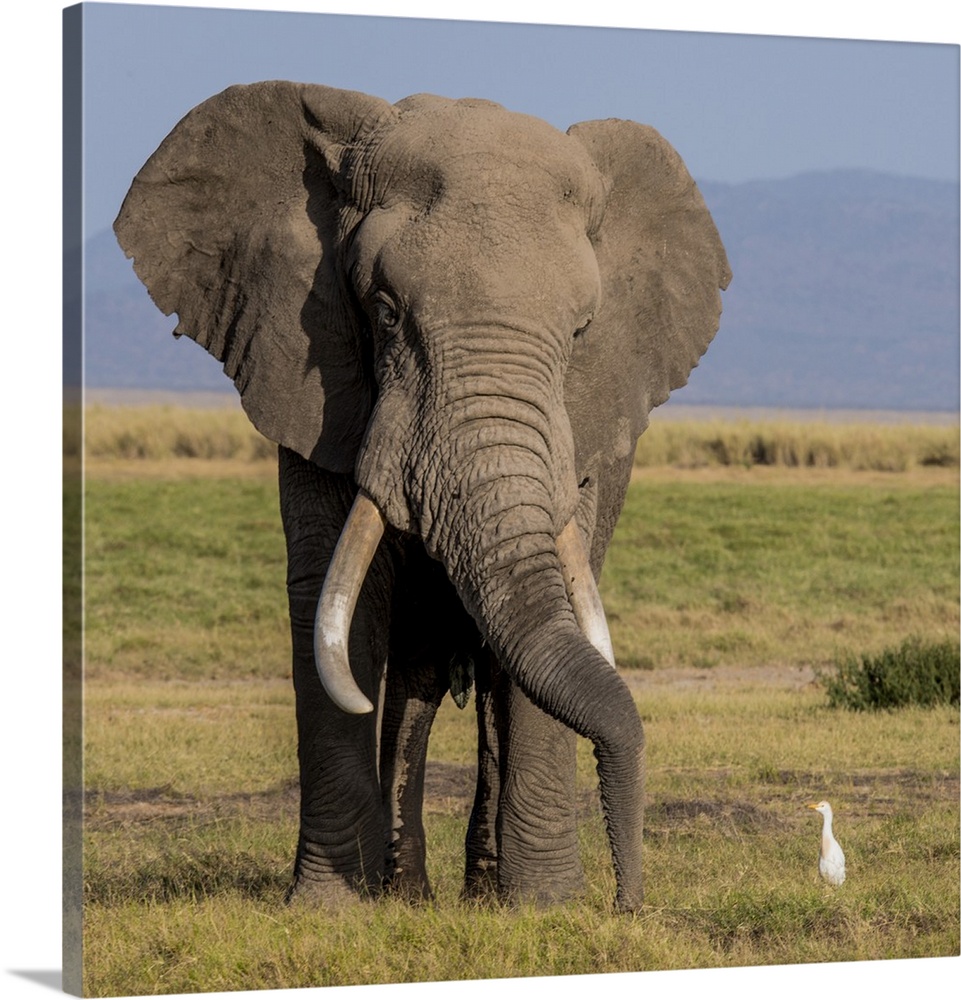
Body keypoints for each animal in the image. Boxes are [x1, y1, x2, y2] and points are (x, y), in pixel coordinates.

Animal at [114, 84, 728, 916]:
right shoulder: (314, 382)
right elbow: (334, 603)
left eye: (580, 331)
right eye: (384, 310)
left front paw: (547, 909)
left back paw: (481, 891)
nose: (628, 901)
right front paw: (330, 911)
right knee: (415, 676)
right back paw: (406, 893)